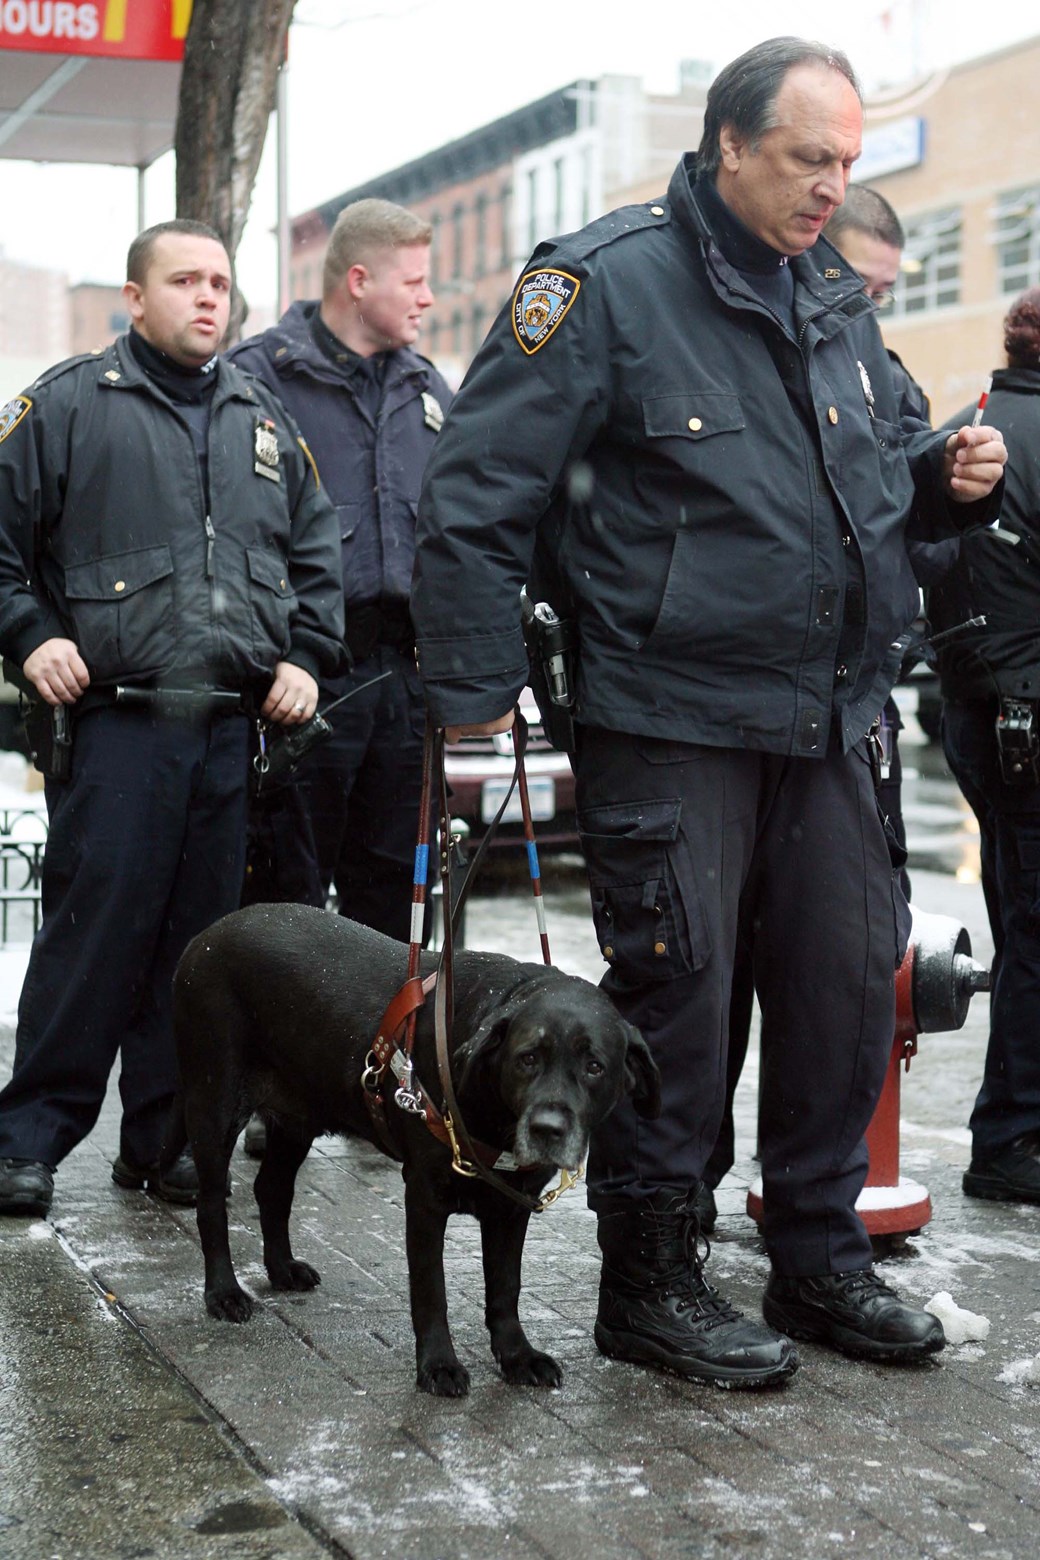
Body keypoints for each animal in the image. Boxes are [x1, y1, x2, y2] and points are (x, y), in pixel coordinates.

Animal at [169, 911, 657, 1397]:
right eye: (527, 1058)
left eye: (594, 1066)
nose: (547, 1129)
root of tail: (207, 934)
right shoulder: (424, 1198)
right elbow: (430, 1289)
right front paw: (438, 1365)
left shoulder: (512, 1207)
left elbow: (506, 1288)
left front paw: (517, 1356)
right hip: (214, 1105)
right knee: (211, 1204)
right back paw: (223, 1292)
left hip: (297, 1119)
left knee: (271, 1189)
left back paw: (282, 1269)